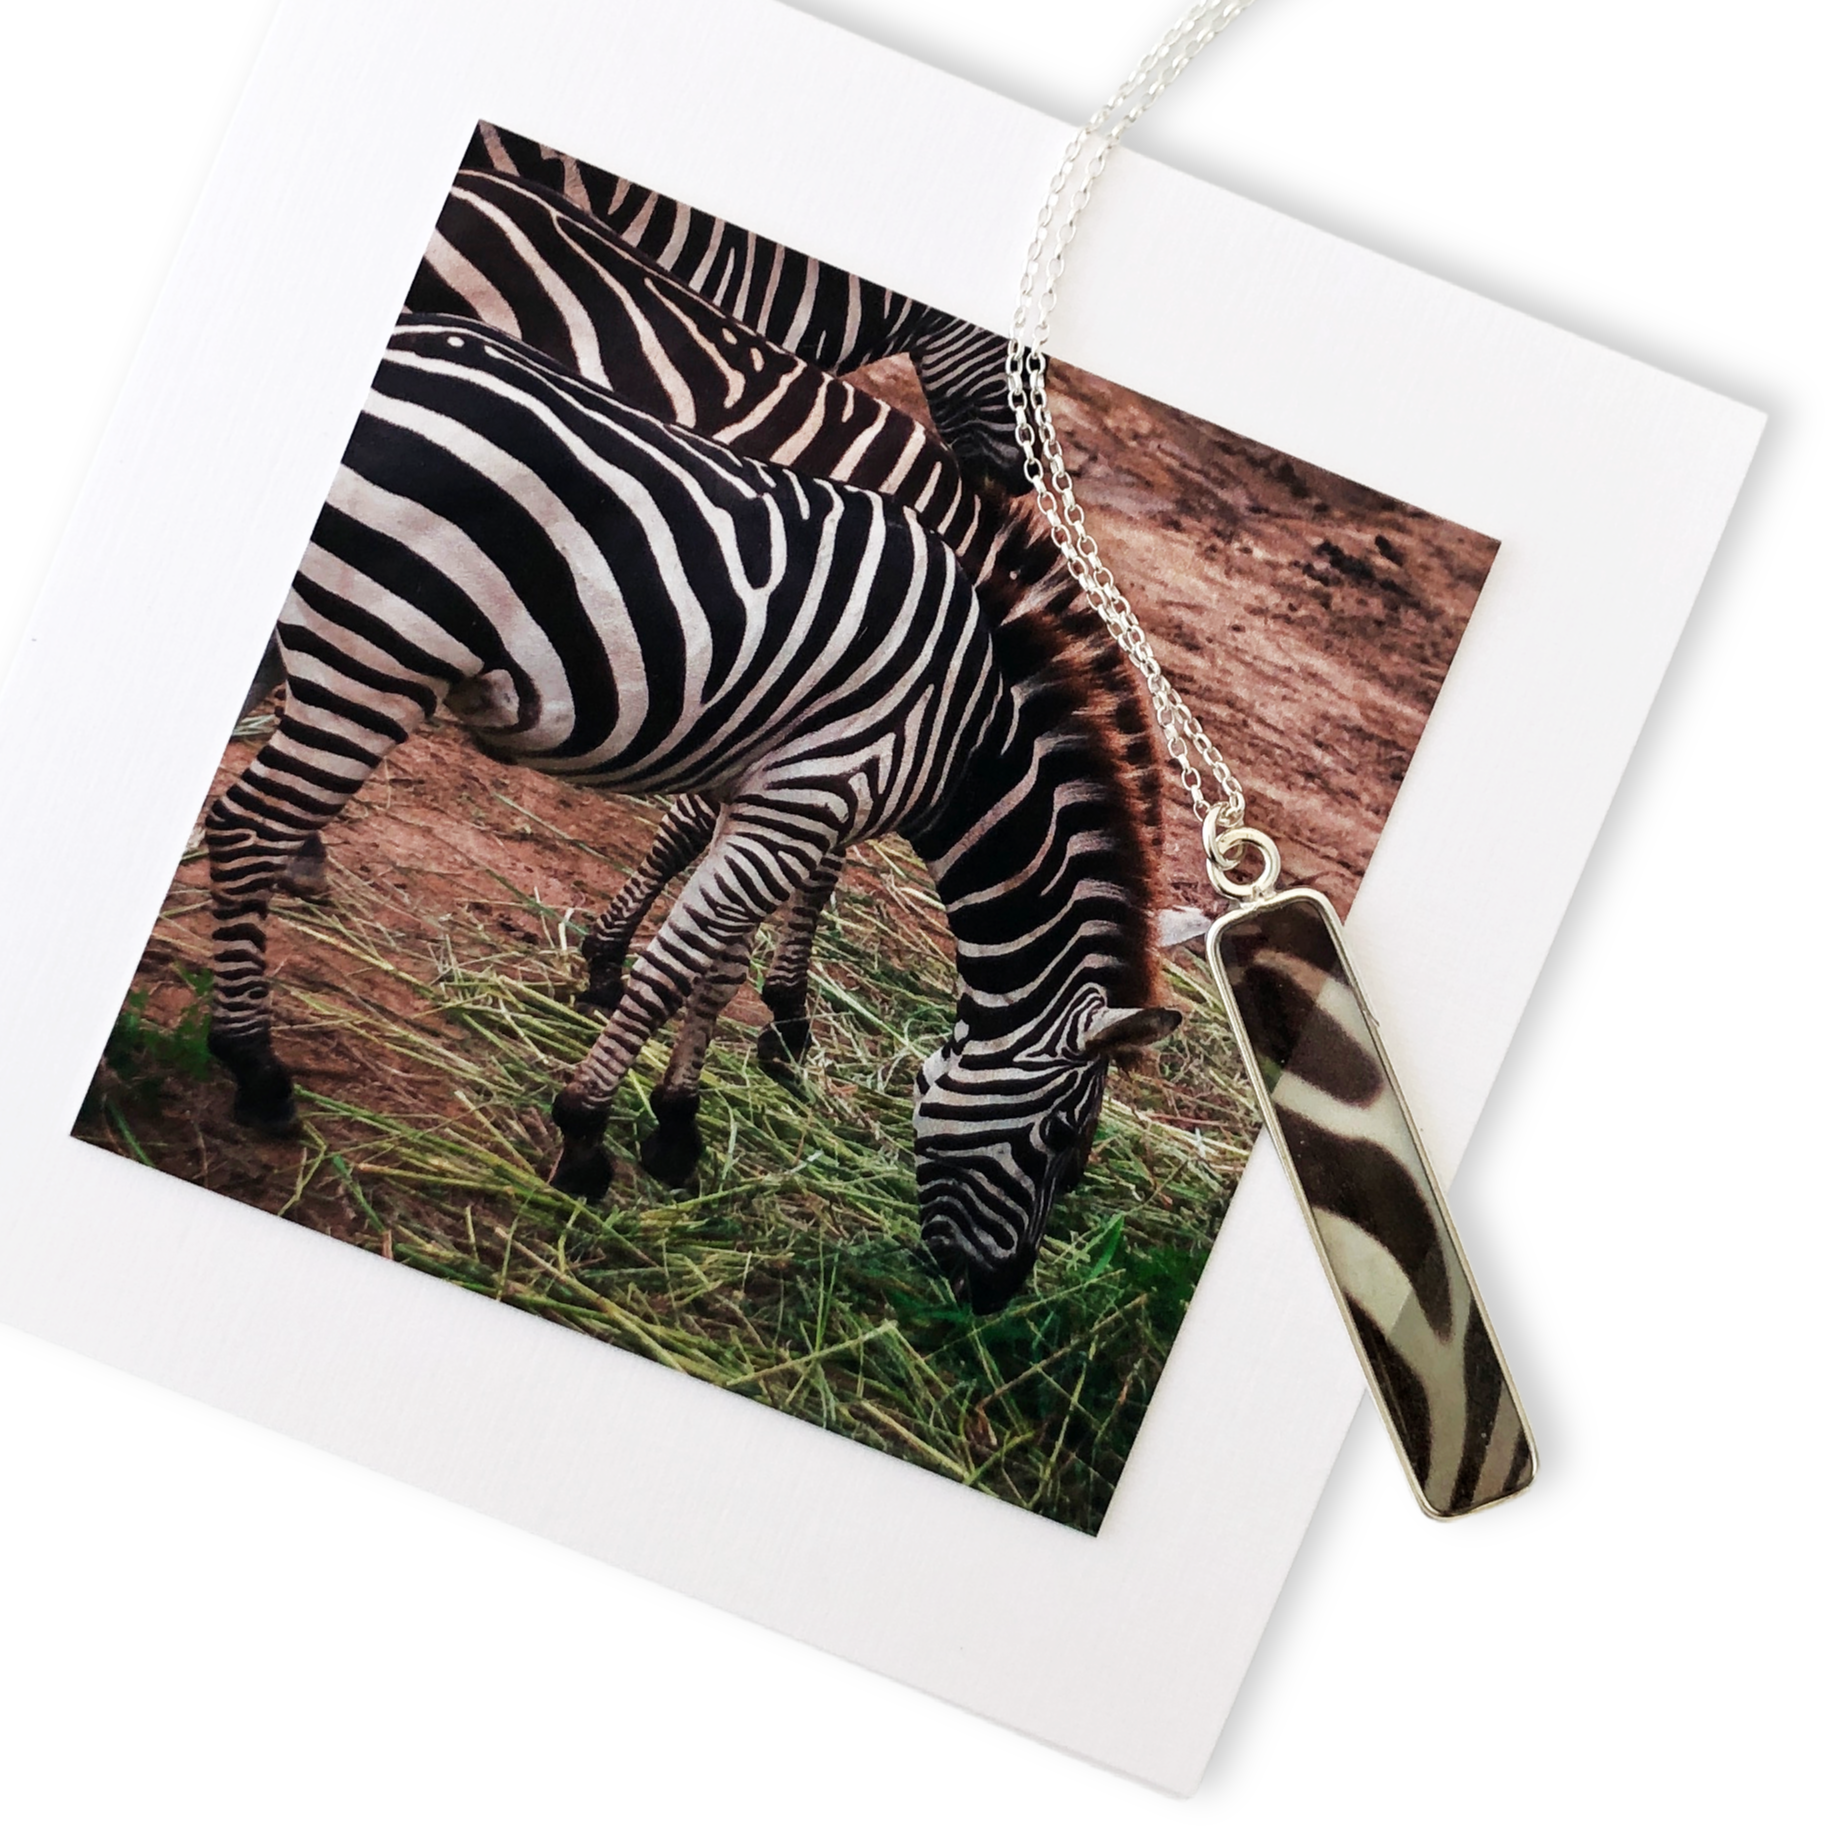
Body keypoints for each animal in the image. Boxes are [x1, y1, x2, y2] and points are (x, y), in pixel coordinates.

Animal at [206, 316, 1174, 1309]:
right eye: (1059, 1140)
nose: (990, 1298)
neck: (968, 723)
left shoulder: (768, 800)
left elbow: (716, 966)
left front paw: (675, 1125)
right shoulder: (806, 799)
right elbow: (673, 968)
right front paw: (586, 1134)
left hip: (320, 631)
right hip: (377, 653)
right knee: (249, 828)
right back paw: (255, 1066)